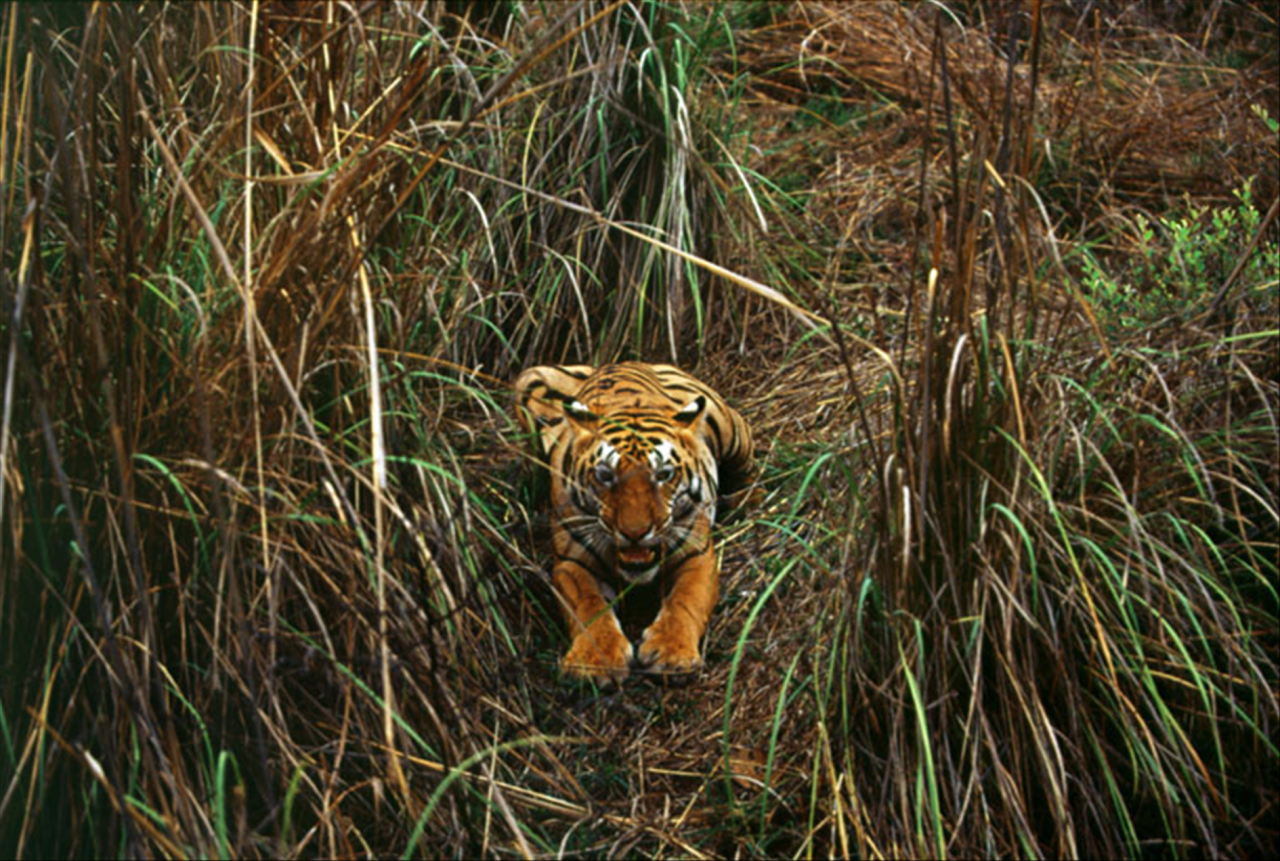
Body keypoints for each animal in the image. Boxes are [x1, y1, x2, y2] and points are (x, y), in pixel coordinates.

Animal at [514, 358, 752, 680]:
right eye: (605, 475)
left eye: (663, 474)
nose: (635, 532)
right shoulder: (571, 563)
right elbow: (588, 605)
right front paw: (593, 662)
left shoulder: (697, 554)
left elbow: (685, 600)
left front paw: (671, 653)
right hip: (528, 379)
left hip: (730, 428)